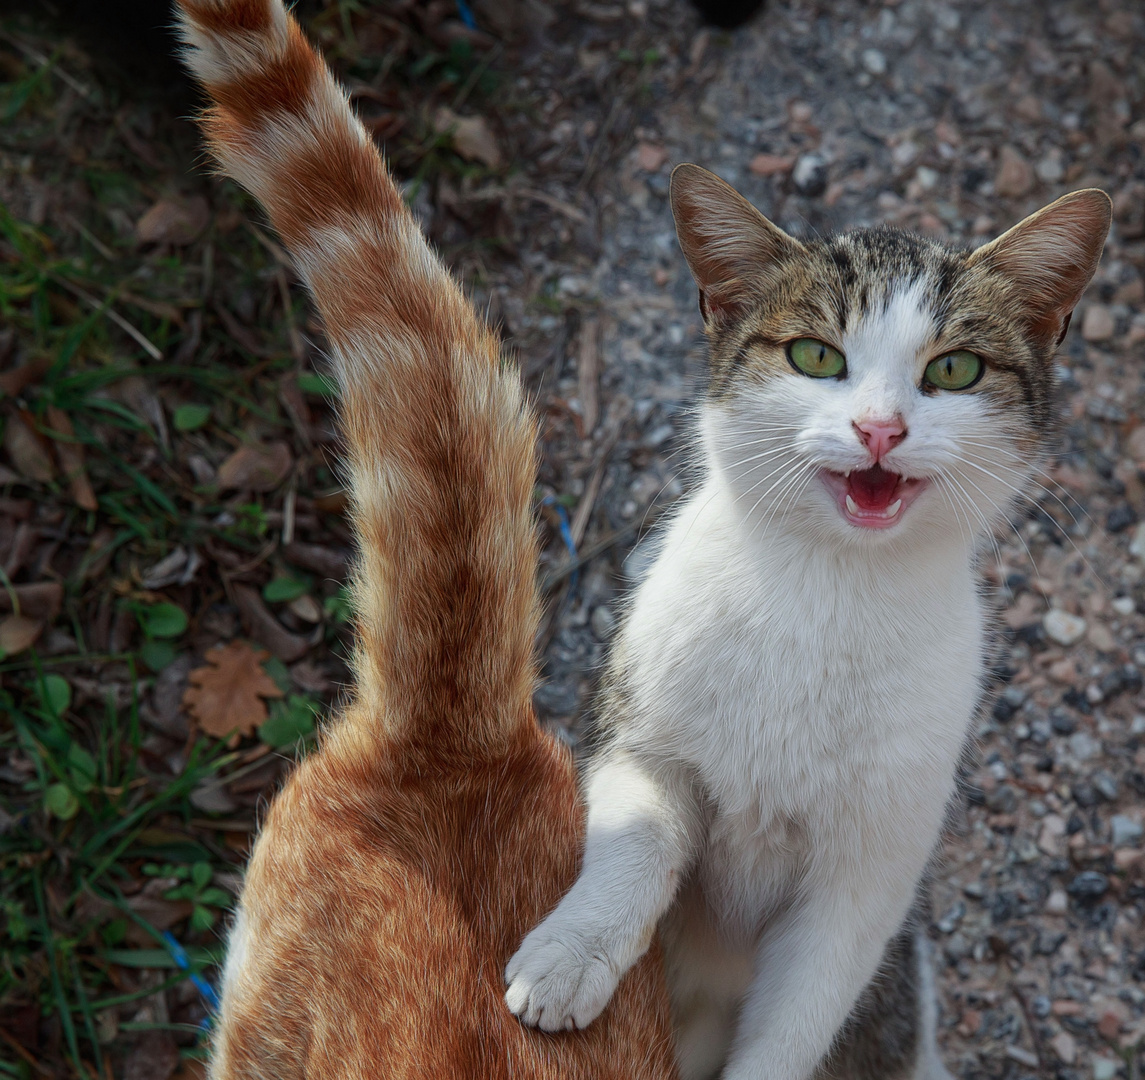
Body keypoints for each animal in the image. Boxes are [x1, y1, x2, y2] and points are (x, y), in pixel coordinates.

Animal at [508, 162, 1108, 1080]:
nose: (878, 428)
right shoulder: (642, 737)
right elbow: (634, 843)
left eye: (955, 369)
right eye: (815, 355)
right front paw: (569, 957)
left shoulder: (866, 881)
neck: (831, 591)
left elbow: (802, 1010)